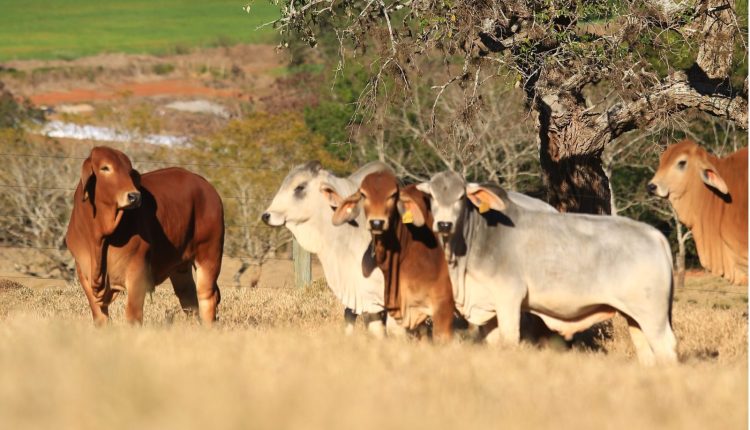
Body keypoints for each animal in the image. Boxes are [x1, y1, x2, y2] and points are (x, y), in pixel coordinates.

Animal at [65, 146, 225, 324]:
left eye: (129, 171)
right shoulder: (83, 273)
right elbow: (100, 318)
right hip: (181, 267)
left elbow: (133, 316)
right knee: (189, 300)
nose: (134, 196)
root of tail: (207, 187)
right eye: (105, 168)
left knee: (207, 296)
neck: (98, 237)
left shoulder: (137, 272)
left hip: (210, 254)